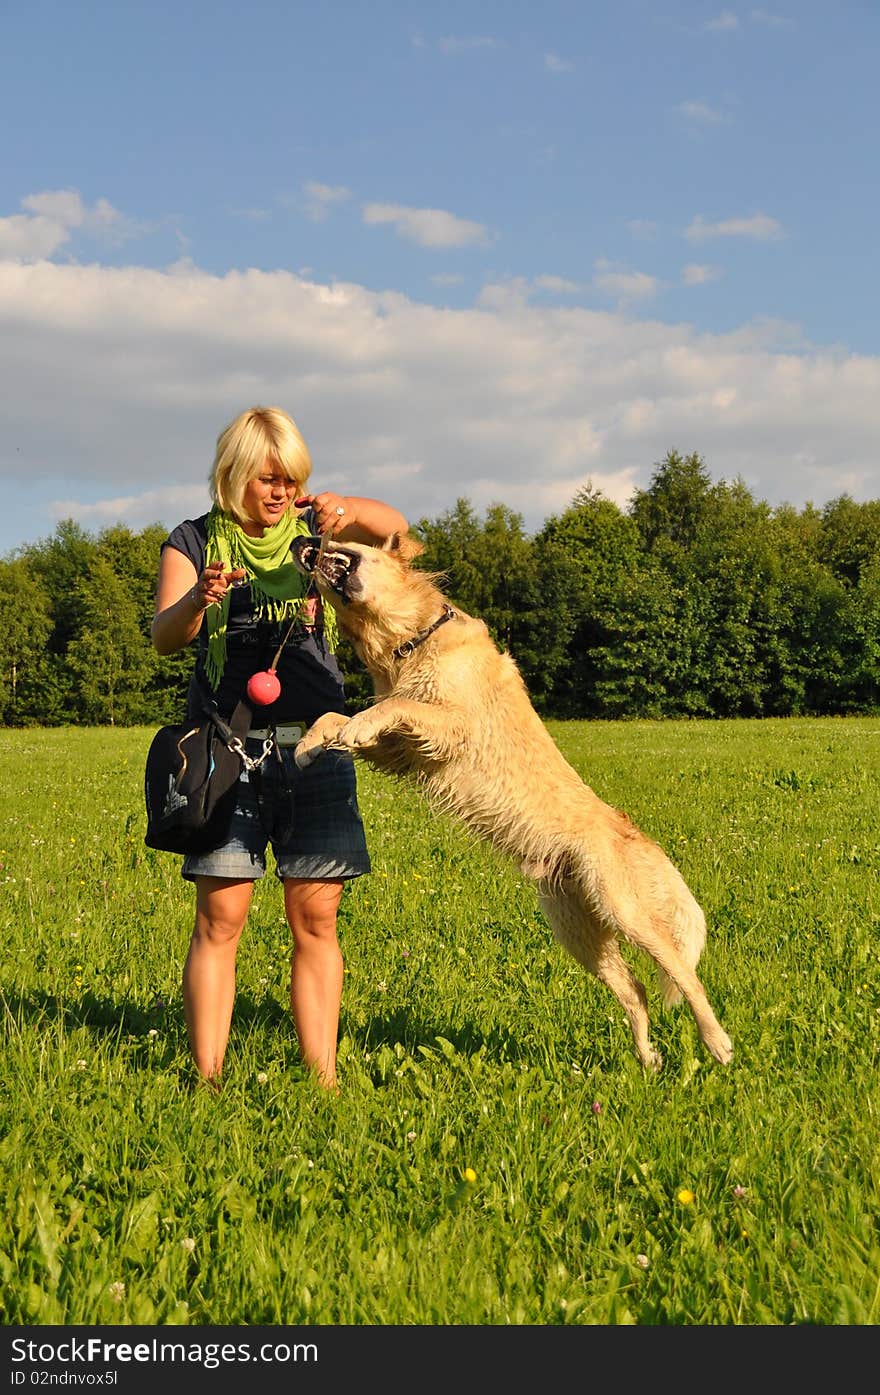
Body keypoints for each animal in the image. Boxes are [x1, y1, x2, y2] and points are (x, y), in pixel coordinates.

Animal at [292, 530, 730, 1065]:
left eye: (346, 540)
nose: (303, 536)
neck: (410, 639)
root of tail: (637, 835)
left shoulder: (452, 725)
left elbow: (389, 707)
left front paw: (350, 728)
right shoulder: (402, 750)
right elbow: (334, 718)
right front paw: (308, 746)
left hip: (627, 913)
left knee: (687, 978)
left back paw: (718, 1044)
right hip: (579, 931)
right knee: (636, 991)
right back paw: (648, 1060)